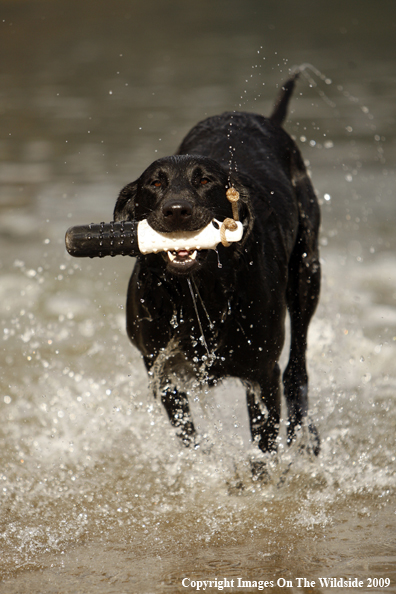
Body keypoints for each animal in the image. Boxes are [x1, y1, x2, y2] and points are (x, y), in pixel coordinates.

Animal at [113, 76, 320, 456]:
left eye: (205, 181)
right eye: (155, 183)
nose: (177, 210)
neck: (198, 291)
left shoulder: (261, 374)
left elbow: (263, 450)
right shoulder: (161, 368)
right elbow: (189, 436)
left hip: (307, 275)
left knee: (297, 369)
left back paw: (306, 435)